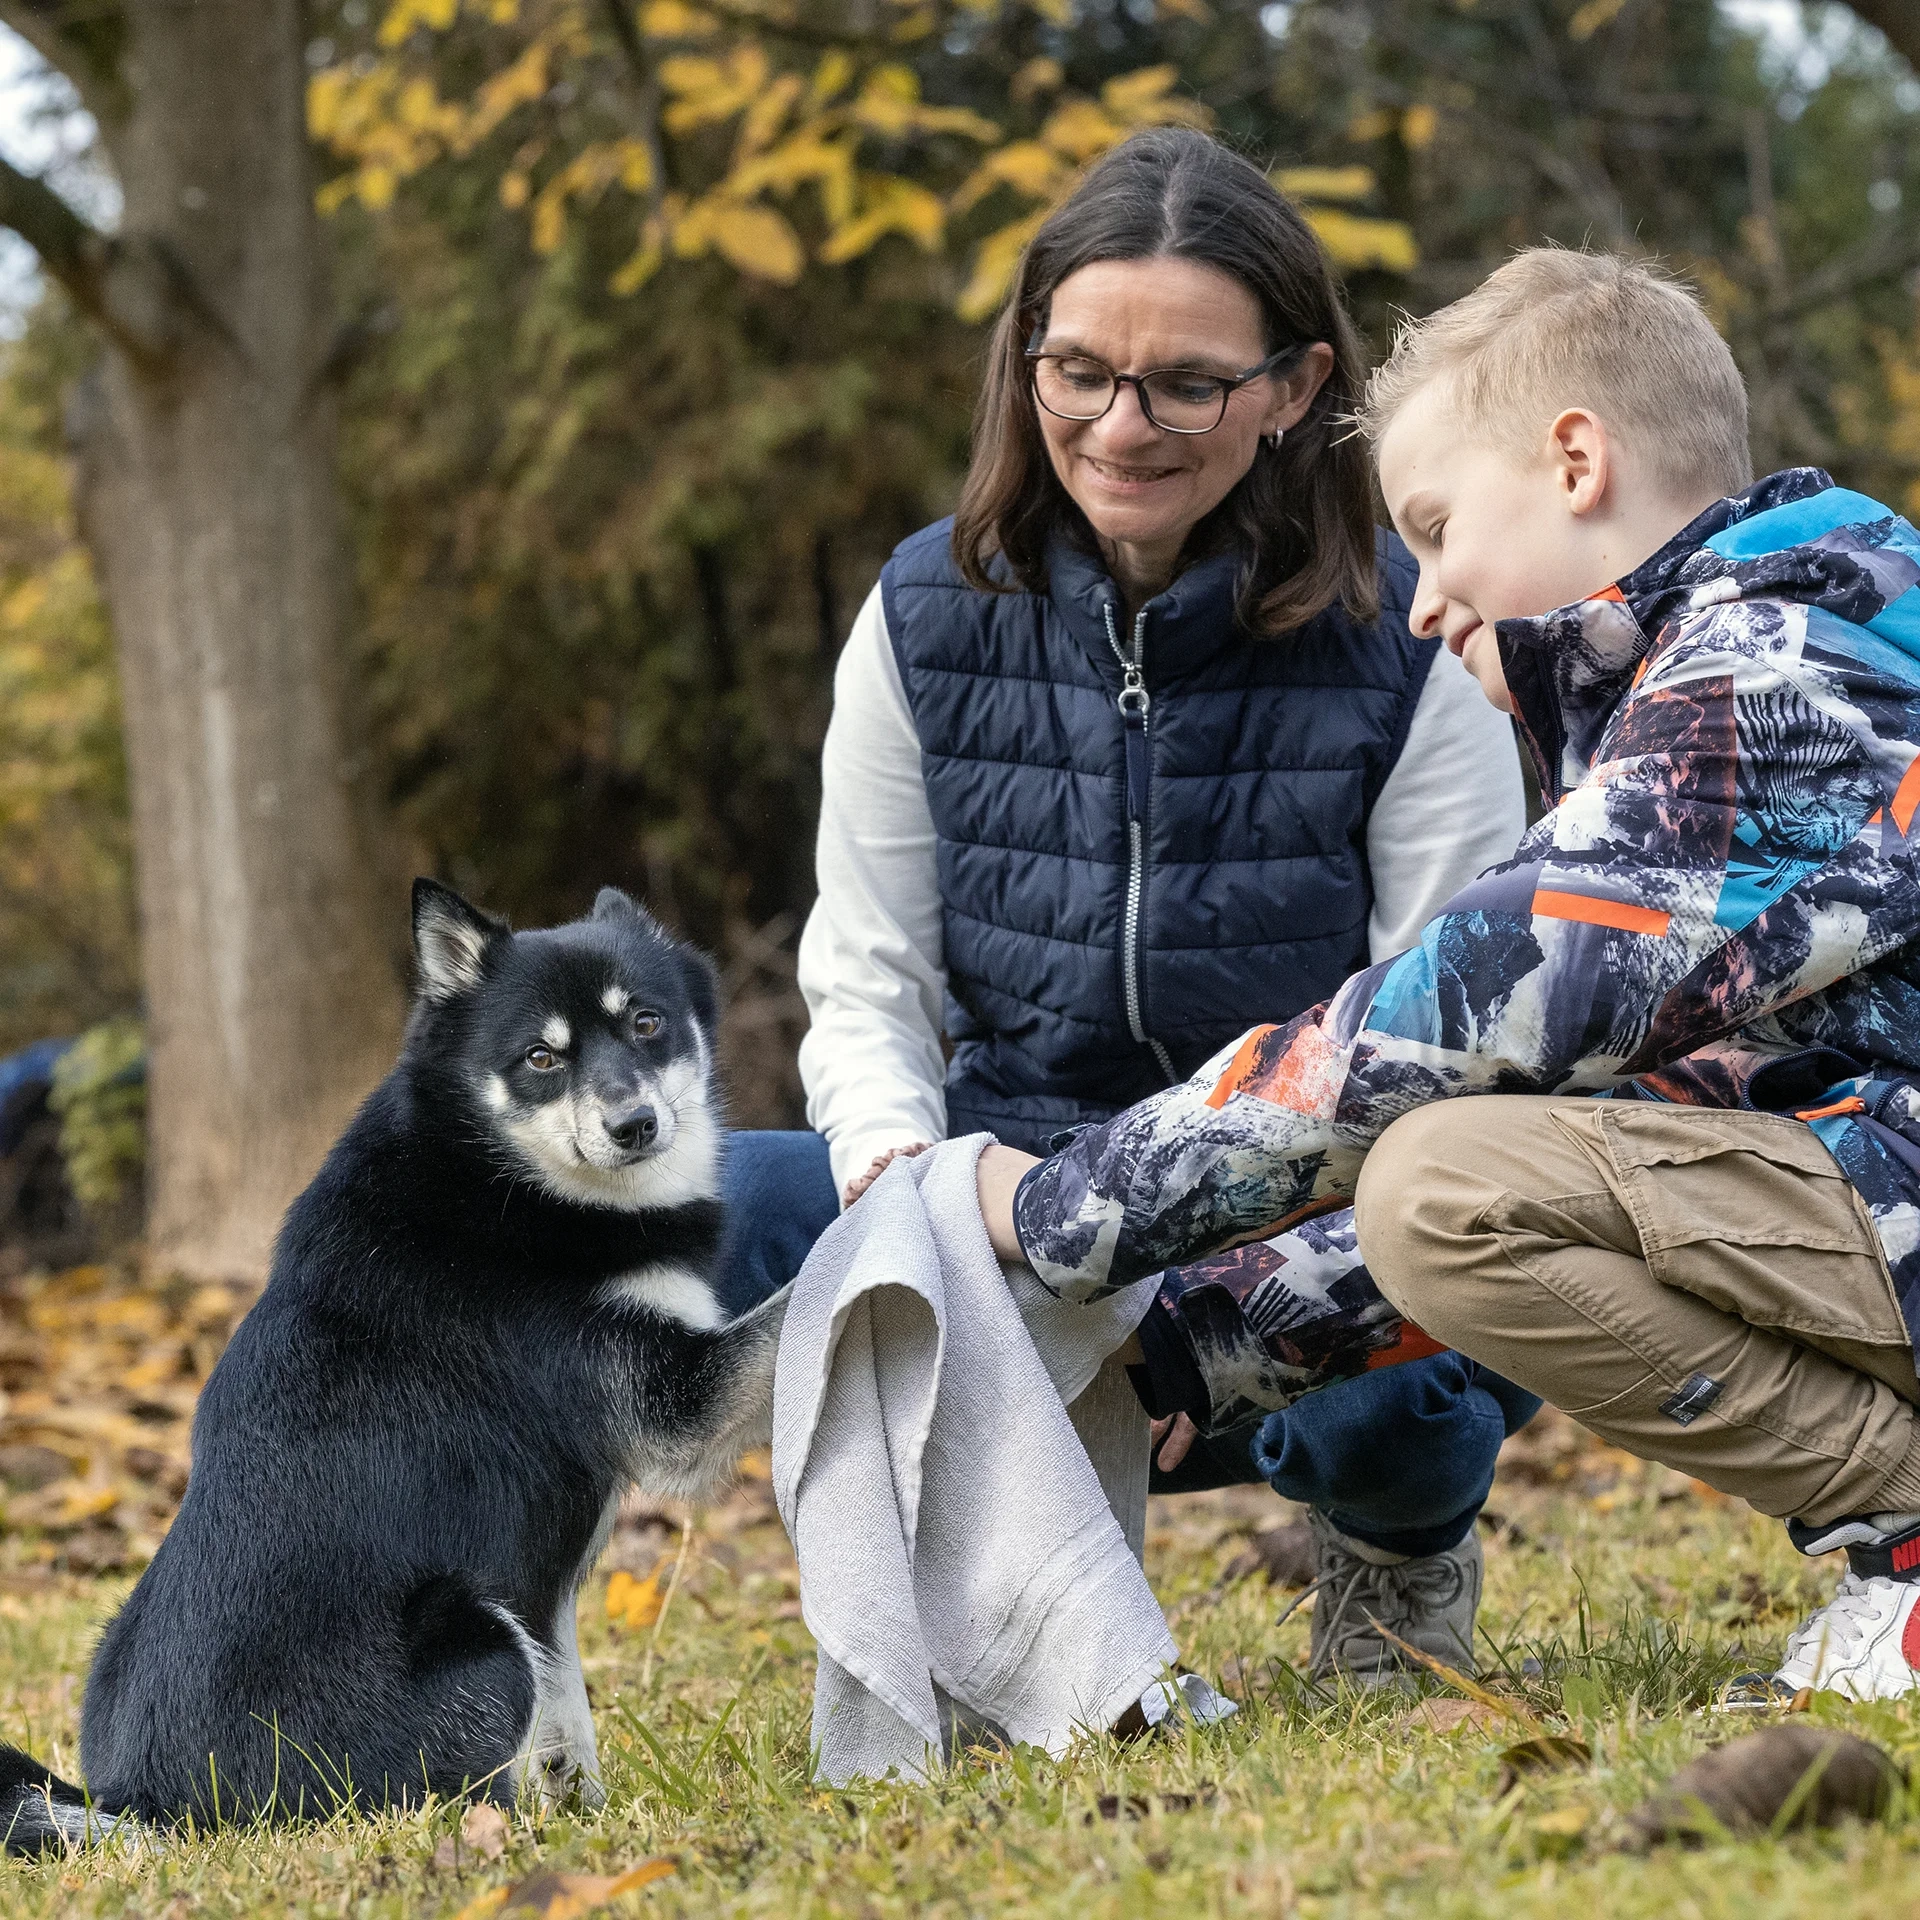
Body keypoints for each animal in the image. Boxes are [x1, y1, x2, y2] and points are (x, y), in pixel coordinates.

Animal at [1, 879, 779, 1843]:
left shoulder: (538, 1593)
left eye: (646, 1022)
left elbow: (566, 1709)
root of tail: (160, 1809)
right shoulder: (676, 1413)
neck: (496, 1176)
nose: (635, 1126)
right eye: (540, 1058)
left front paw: (584, 1816)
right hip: (477, 1634)